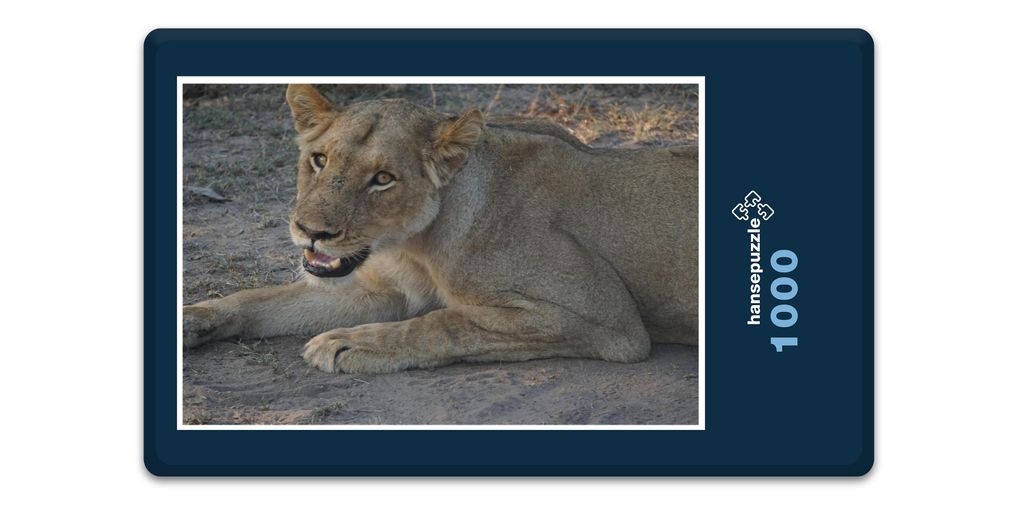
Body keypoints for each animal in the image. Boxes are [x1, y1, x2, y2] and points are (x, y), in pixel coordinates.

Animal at [183, 84, 698, 374]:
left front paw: (351, 343)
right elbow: (262, 299)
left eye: (383, 178)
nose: (311, 231)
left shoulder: (608, 320)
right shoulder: (382, 290)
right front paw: (194, 318)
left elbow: (445, 321)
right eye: (319, 160)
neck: (411, 246)